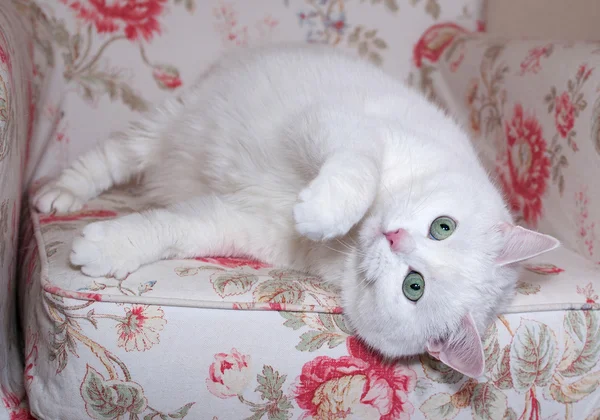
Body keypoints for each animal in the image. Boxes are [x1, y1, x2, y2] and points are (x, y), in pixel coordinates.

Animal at [31, 45, 556, 378]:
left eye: (414, 287)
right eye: (443, 227)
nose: (393, 238)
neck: (349, 242)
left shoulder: (234, 222)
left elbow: (170, 230)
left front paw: (107, 248)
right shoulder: (339, 126)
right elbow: (359, 170)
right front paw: (323, 210)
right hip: (167, 123)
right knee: (108, 159)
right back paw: (58, 195)